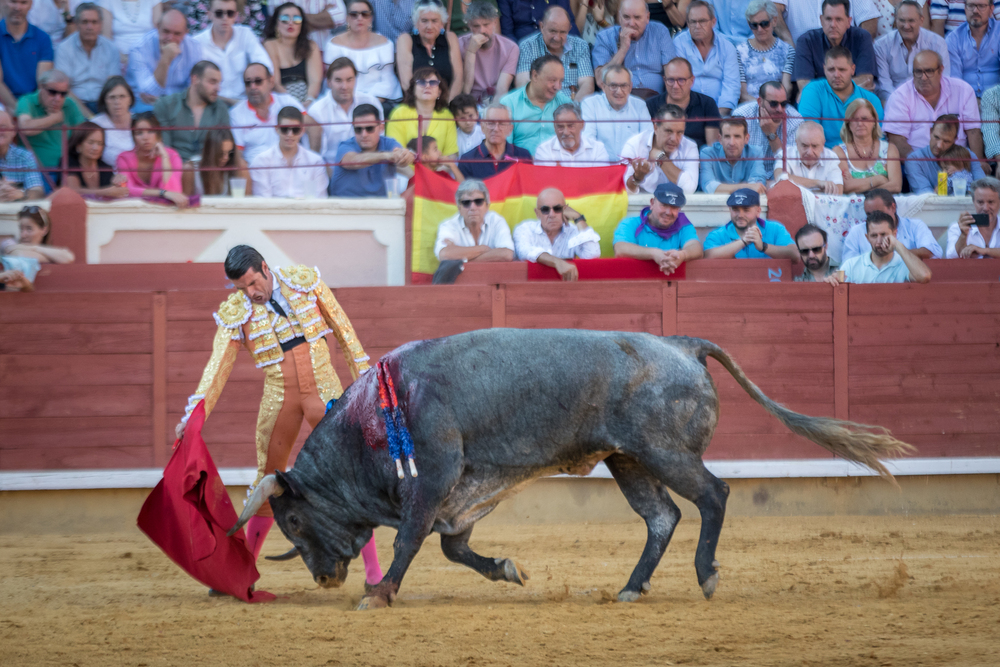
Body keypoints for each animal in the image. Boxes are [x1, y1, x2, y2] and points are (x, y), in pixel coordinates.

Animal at [229, 328, 916, 612]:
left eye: (292, 519)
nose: (324, 579)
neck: (373, 418)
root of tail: (683, 346)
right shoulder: (459, 492)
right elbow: (454, 547)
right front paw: (509, 570)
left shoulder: (434, 477)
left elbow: (411, 541)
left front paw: (379, 594)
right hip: (628, 460)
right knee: (662, 516)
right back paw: (631, 588)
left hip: (664, 451)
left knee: (713, 495)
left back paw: (707, 576)